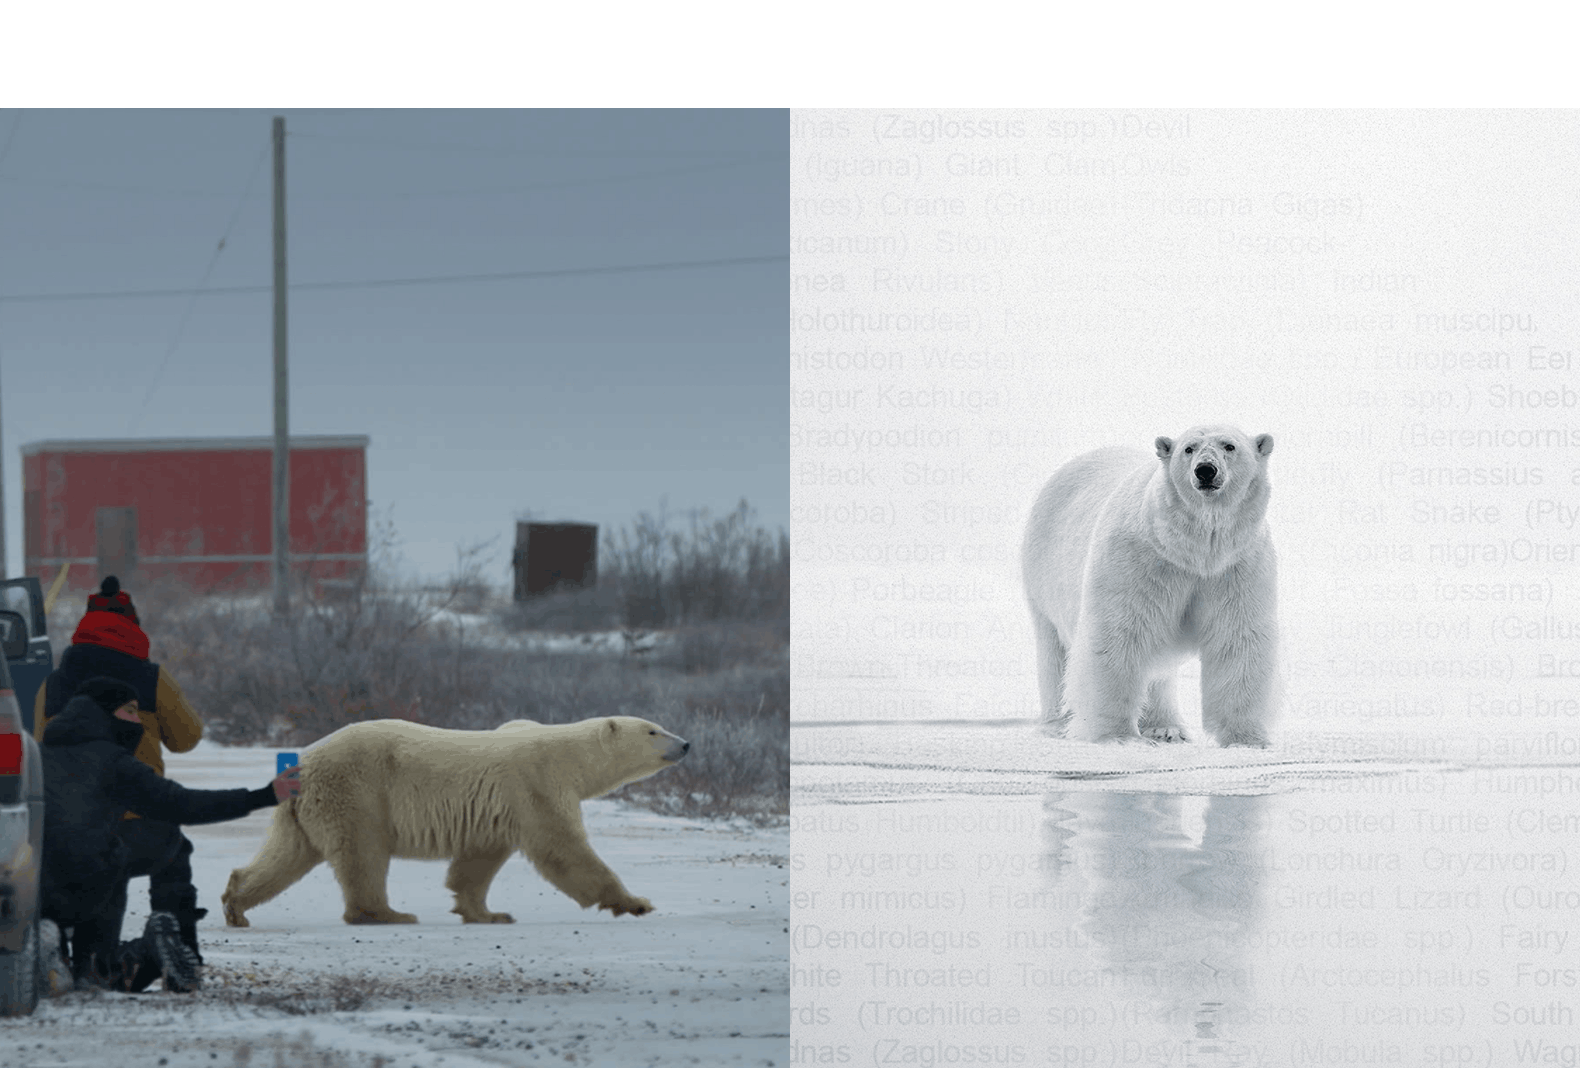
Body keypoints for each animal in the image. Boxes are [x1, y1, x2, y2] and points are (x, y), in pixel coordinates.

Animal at [221, 716, 690, 926]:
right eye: (652, 730)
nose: (686, 743)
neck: (569, 758)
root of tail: (302, 764)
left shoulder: (500, 809)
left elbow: (478, 861)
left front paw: (486, 913)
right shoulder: (536, 785)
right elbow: (564, 849)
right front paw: (635, 902)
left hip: (304, 809)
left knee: (288, 854)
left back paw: (236, 904)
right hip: (357, 792)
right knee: (362, 853)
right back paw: (386, 913)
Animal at [1021, 425, 1278, 746]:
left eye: (1229, 446)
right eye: (1189, 448)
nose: (1206, 470)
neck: (1193, 552)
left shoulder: (1235, 568)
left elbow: (1237, 638)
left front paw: (1246, 738)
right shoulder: (1139, 562)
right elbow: (1119, 635)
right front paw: (1118, 735)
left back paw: (1167, 727)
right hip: (1043, 577)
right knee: (1055, 652)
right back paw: (1057, 725)